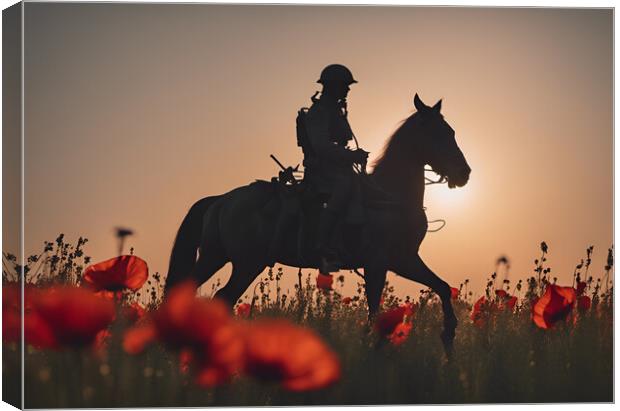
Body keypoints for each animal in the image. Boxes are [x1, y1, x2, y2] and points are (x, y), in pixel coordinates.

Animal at [162, 94, 472, 354]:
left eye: (452, 132)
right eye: (439, 133)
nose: (464, 173)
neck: (389, 196)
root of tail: (221, 199)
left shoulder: (404, 260)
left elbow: (442, 287)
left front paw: (448, 336)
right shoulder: (381, 263)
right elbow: (375, 310)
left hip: (216, 257)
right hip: (246, 264)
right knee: (222, 298)